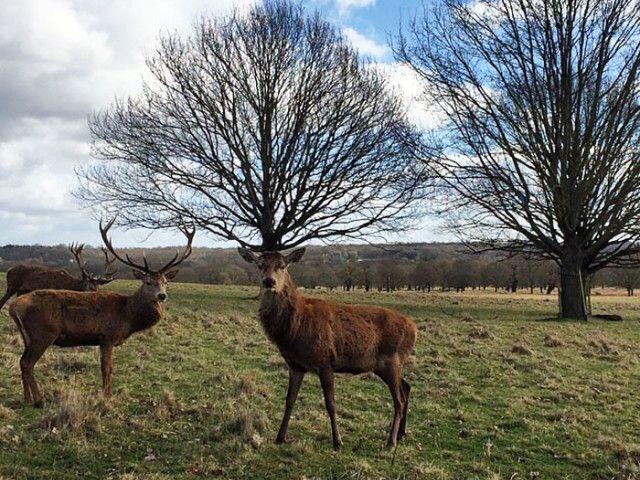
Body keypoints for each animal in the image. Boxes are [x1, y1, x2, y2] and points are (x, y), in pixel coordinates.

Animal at [7, 219, 194, 406]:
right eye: (148, 282)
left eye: (165, 282)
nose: (162, 295)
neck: (127, 316)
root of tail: (14, 307)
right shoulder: (107, 337)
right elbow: (107, 369)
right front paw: (107, 397)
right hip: (43, 333)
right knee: (27, 363)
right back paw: (39, 400)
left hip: (28, 337)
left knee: (22, 362)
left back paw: (27, 398)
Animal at [238, 248, 418, 450]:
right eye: (260, 265)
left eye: (282, 266)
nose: (269, 282)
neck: (294, 329)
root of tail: (414, 329)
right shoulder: (295, 365)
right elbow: (289, 400)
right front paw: (280, 437)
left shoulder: (325, 361)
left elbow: (330, 403)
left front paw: (337, 441)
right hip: (386, 366)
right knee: (406, 386)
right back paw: (402, 434)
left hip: (392, 359)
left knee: (399, 400)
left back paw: (390, 441)